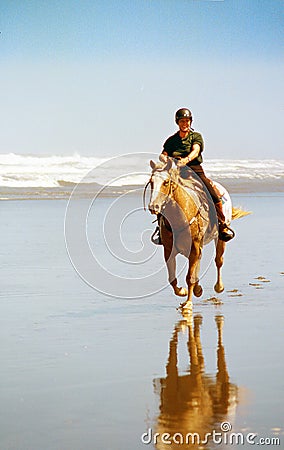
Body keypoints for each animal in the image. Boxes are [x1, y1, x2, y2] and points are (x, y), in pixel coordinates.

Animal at [146, 157, 248, 310]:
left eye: (166, 182)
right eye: (151, 182)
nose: (153, 207)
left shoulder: (194, 247)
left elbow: (190, 277)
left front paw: (188, 304)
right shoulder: (169, 250)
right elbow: (172, 278)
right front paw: (183, 291)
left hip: (219, 238)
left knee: (218, 260)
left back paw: (219, 286)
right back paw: (198, 289)